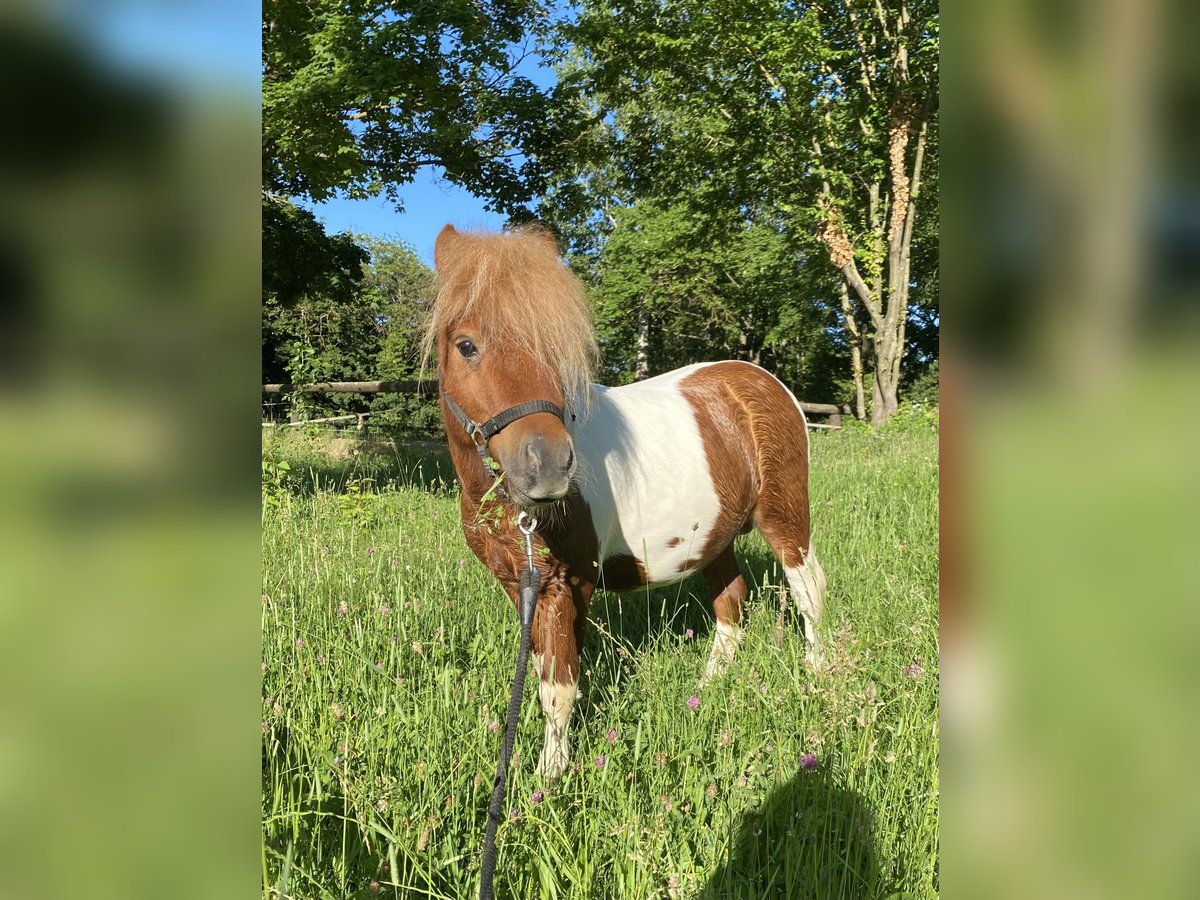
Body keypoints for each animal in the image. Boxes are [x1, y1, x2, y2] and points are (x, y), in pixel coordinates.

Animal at [424, 224, 825, 782]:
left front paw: (548, 781)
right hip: (716, 534)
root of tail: (766, 383)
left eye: (558, 349)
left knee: (809, 590)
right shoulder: (519, 583)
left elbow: (558, 688)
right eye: (466, 346)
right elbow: (542, 669)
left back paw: (817, 675)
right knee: (731, 600)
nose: (550, 467)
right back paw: (706, 689)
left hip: (785, 518)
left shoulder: (564, 583)